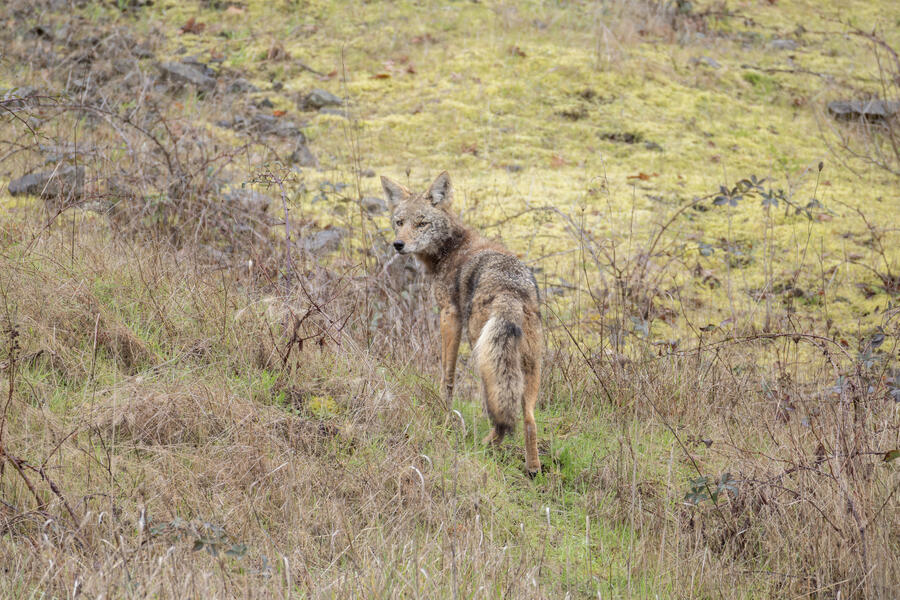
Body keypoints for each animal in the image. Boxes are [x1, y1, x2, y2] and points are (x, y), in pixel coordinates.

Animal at [381, 172, 542, 475]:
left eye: (422, 223)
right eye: (399, 222)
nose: (399, 245)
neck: (451, 248)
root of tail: (511, 291)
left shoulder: (449, 316)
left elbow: (447, 375)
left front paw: (445, 416)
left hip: (482, 352)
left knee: (501, 412)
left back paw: (486, 445)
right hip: (528, 367)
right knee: (528, 417)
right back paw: (532, 468)